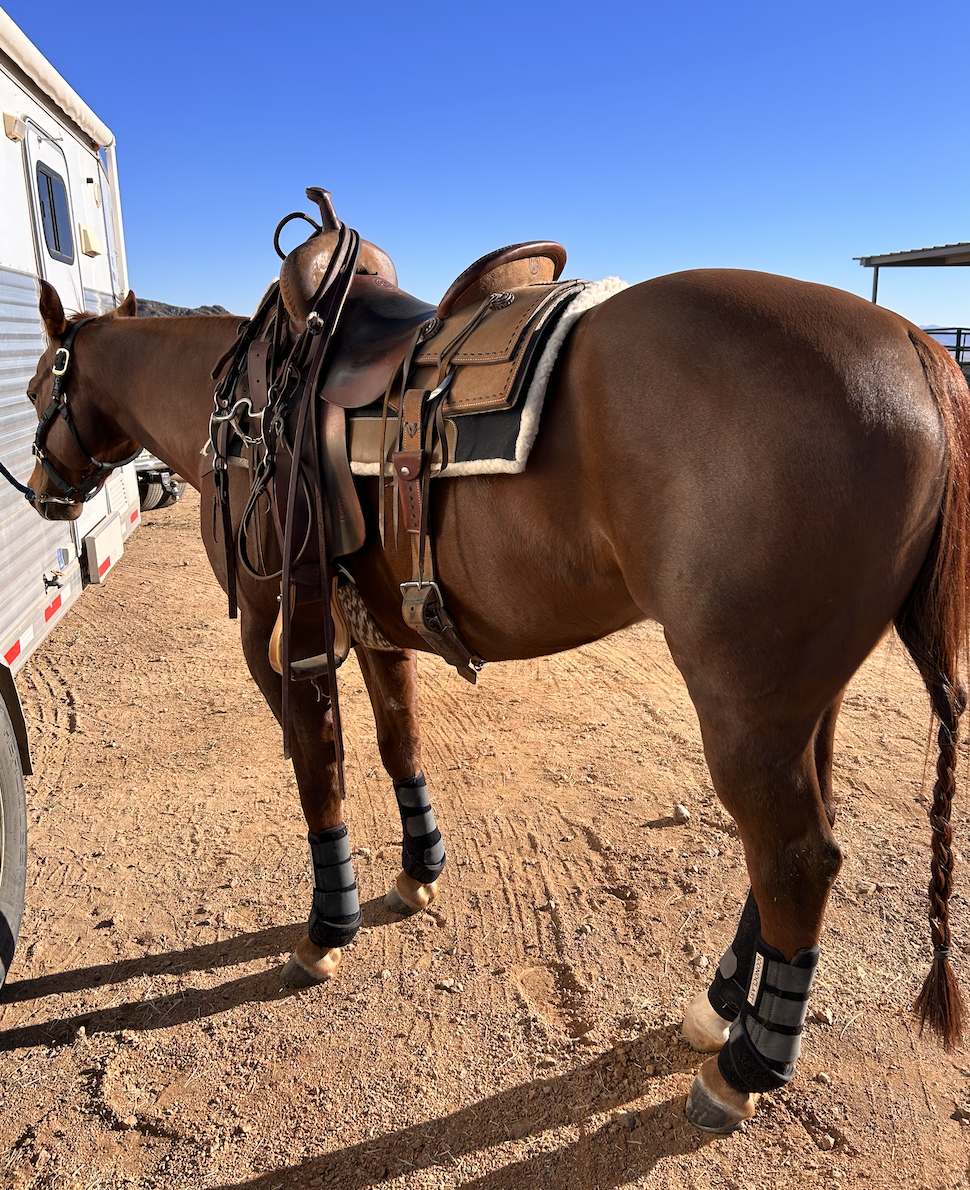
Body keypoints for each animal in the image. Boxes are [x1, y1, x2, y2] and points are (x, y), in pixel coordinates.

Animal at [23, 262, 970, 1135]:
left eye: (36, 383)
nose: (39, 487)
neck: (245, 410)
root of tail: (919, 349)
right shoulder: (373, 625)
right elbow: (397, 744)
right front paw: (416, 872)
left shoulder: (279, 630)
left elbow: (317, 770)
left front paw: (326, 931)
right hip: (802, 701)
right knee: (791, 850)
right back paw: (720, 1005)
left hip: (745, 708)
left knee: (795, 860)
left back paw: (747, 1066)